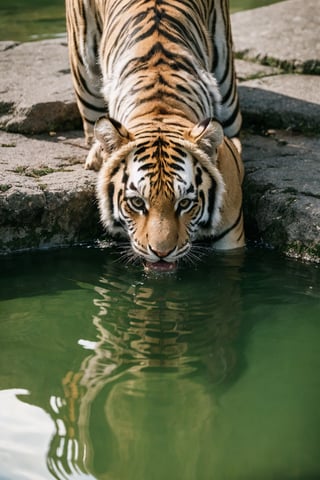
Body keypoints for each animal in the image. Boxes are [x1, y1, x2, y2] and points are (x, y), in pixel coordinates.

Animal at [65, 0, 245, 270]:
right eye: (137, 202)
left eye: (185, 203)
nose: (162, 252)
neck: (160, 111)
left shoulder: (231, 236)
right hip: (84, 65)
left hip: (225, 74)